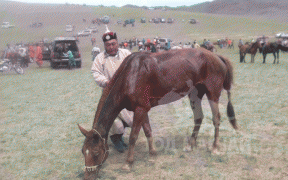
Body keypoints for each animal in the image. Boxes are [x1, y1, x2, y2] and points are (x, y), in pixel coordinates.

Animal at [78, 48, 238, 180]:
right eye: (83, 151)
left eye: (96, 153)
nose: (88, 176)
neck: (130, 75)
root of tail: (217, 56)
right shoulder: (142, 109)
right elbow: (148, 131)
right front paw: (152, 155)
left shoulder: (140, 109)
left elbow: (133, 136)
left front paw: (128, 163)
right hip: (195, 94)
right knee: (198, 117)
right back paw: (190, 145)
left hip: (213, 94)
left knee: (216, 119)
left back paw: (215, 147)